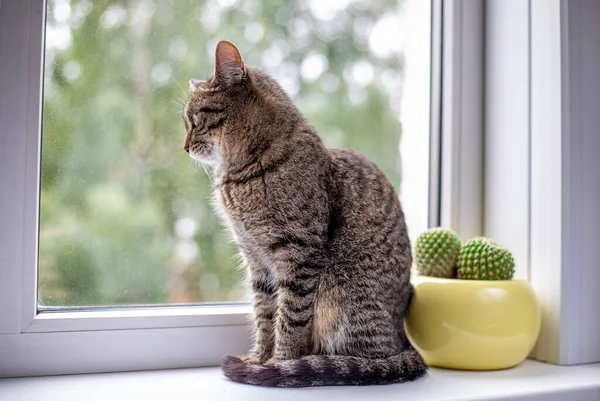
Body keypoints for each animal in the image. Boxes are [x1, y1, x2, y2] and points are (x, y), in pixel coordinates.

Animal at [183, 39, 426, 384]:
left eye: (192, 119)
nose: (185, 146)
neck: (241, 173)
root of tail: (404, 340)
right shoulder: (256, 260)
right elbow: (264, 314)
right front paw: (260, 357)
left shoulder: (300, 255)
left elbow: (290, 317)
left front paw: (280, 362)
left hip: (342, 300)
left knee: (366, 357)